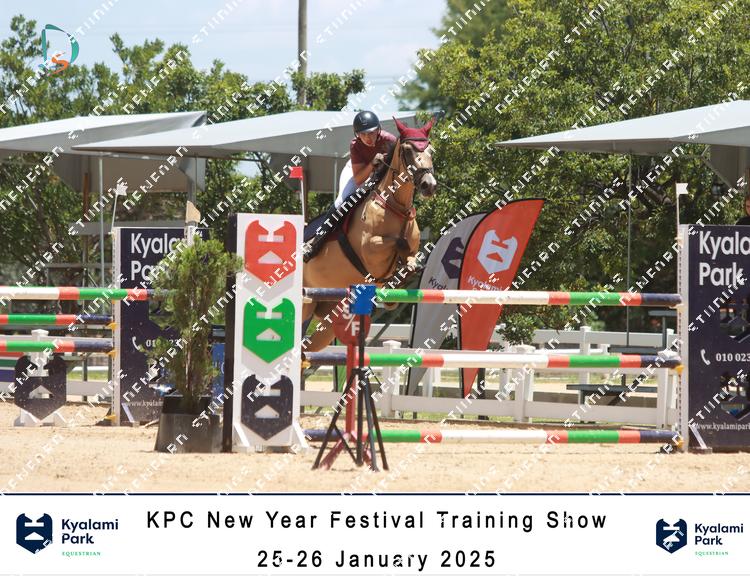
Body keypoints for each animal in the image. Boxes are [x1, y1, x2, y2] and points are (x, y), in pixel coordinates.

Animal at [302, 117, 437, 352]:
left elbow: (412, 258)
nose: (429, 185)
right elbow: (396, 242)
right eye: (408, 151)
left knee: (305, 349)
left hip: (330, 312)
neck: (395, 206)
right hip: (305, 304)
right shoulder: (372, 251)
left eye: (430, 150)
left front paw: (404, 275)